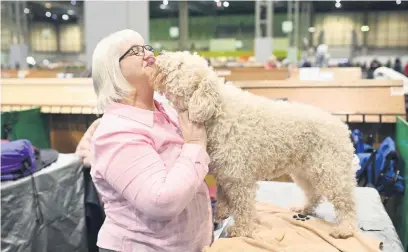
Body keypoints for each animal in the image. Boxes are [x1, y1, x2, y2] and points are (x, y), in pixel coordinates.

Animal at [152, 51, 356, 238]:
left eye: (180, 65)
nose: (158, 57)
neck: (217, 111)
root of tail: (343, 127)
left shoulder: (239, 177)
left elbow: (243, 206)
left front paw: (242, 230)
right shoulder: (225, 173)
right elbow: (223, 196)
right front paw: (222, 213)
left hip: (330, 170)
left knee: (346, 202)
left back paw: (345, 229)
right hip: (304, 170)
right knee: (313, 193)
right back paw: (303, 209)